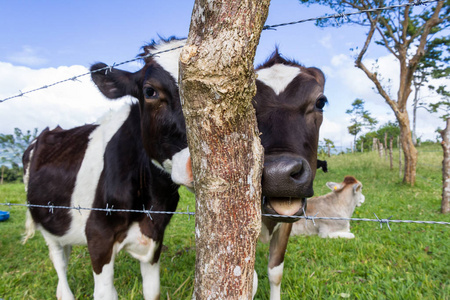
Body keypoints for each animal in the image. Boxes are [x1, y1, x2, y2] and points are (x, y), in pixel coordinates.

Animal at [22, 38, 192, 300]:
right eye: (150, 92)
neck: (150, 201)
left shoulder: (155, 236)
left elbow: (152, 290)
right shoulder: (98, 237)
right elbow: (105, 293)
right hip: (43, 219)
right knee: (58, 259)